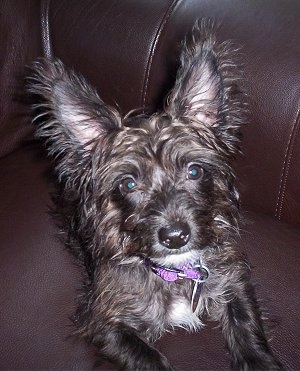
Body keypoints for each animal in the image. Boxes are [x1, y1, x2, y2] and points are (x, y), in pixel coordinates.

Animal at [28, 21, 282, 371]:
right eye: (128, 185)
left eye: (194, 171)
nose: (175, 236)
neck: (175, 270)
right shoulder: (104, 323)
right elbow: (149, 358)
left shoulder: (234, 279)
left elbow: (247, 325)